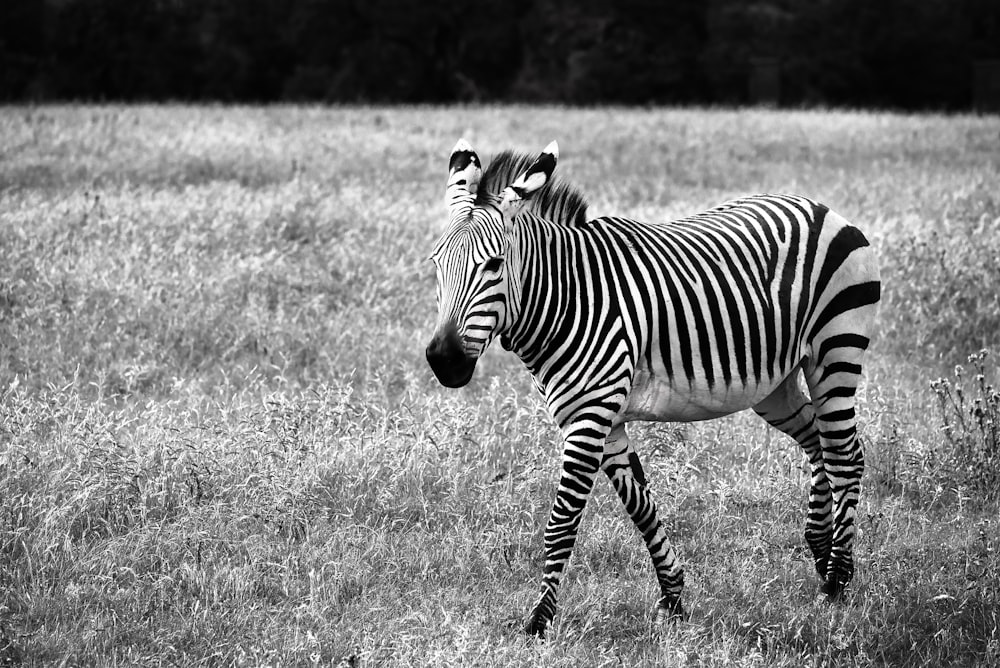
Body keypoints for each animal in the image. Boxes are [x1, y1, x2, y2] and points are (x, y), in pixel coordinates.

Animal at [426, 138, 880, 636]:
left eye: (493, 265)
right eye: (436, 264)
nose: (443, 361)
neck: (567, 299)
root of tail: (822, 208)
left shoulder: (588, 417)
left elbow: (561, 523)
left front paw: (539, 622)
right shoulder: (603, 421)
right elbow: (640, 507)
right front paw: (674, 597)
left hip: (835, 352)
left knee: (845, 456)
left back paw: (837, 581)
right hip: (775, 384)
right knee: (819, 443)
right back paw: (821, 549)